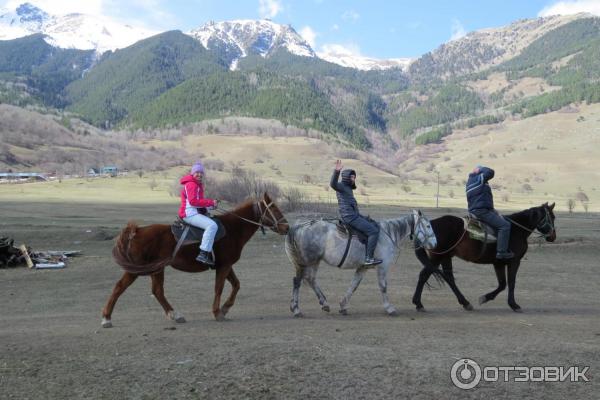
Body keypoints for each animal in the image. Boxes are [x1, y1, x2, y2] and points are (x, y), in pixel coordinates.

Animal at [101, 192, 288, 326]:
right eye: (274, 209)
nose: (286, 227)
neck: (233, 228)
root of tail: (137, 231)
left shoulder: (225, 265)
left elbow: (236, 285)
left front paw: (225, 309)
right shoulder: (224, 266)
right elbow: (219, 288)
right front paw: (217, 312)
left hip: (156, 269)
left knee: (157, 291)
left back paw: (175, 315)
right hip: (138, 270)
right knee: (120, 287)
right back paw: (106, 318)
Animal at [284, 211, 438, 318]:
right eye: (428, 226)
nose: (435, 244)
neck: (387, 234)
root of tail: (299, 226)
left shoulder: (363, 268)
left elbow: (354, 285)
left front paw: (343, 306)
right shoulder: (382, 267)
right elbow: (383, 287)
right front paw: (389, 308)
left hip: (314, 261)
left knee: (310, 279)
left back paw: (324, 304)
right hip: (306, 262)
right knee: (297, 281)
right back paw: (296, 309)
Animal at [412, 203, 556, 312]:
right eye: (552, 217)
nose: (552, 237)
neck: (516, 230)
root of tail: (429, 225)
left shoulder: (498, 263)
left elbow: (502, 284)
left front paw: (485, 298)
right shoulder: (514, 261)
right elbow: (511, 282)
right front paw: (514, 305)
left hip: (445, 257)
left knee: (448, 278)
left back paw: (465, 303)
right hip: (437, 257)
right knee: (425, 275)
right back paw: (419, 304)